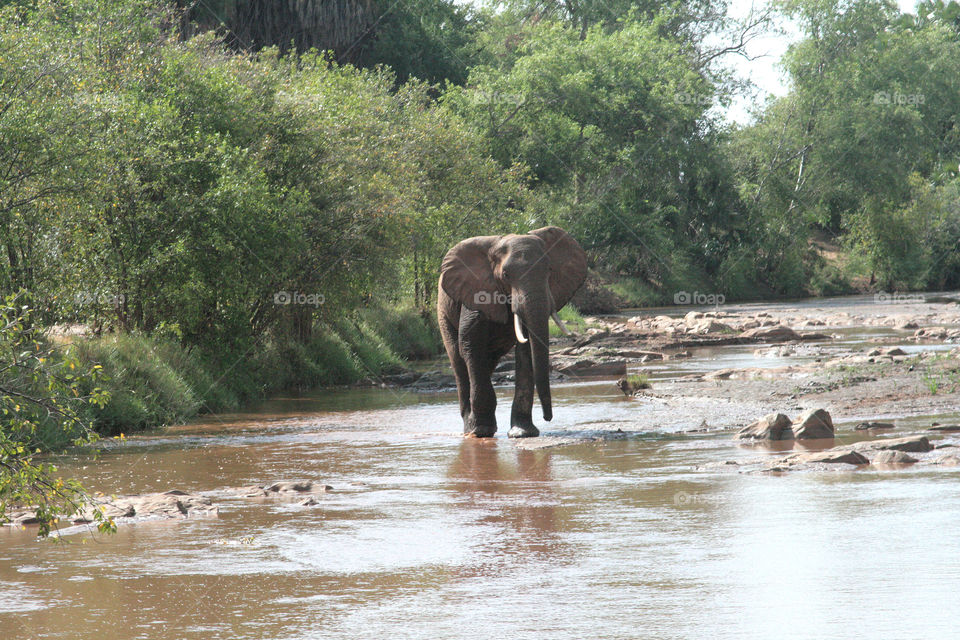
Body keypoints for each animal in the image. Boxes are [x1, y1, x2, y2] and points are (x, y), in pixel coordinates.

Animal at [437, 226, 588, 438]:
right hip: (443, 313)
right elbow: (470, 344)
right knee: (458, 361)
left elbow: (526, 349)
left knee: (488, 362)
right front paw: (482, 431)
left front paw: (522, 433)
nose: (547, 417)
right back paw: (470, 429)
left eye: (549, 271)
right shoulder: (476, 291)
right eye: (506, 275)